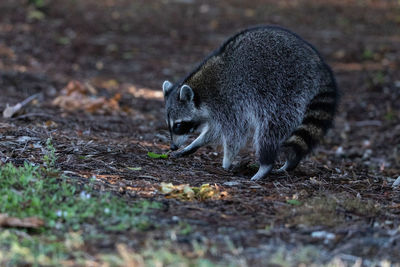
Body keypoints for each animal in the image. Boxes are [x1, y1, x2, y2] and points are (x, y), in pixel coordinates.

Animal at [161, 25, 340, 181]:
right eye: (170, 125)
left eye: (178, 125)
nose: (172, 146)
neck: (200, 92)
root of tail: (319, 65)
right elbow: (214, 130)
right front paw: (193, 145)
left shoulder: (228, 101)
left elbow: (235, 133)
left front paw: (227, 161)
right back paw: (290, 162)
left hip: (288, 90)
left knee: (270, 129)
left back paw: (265, 164)